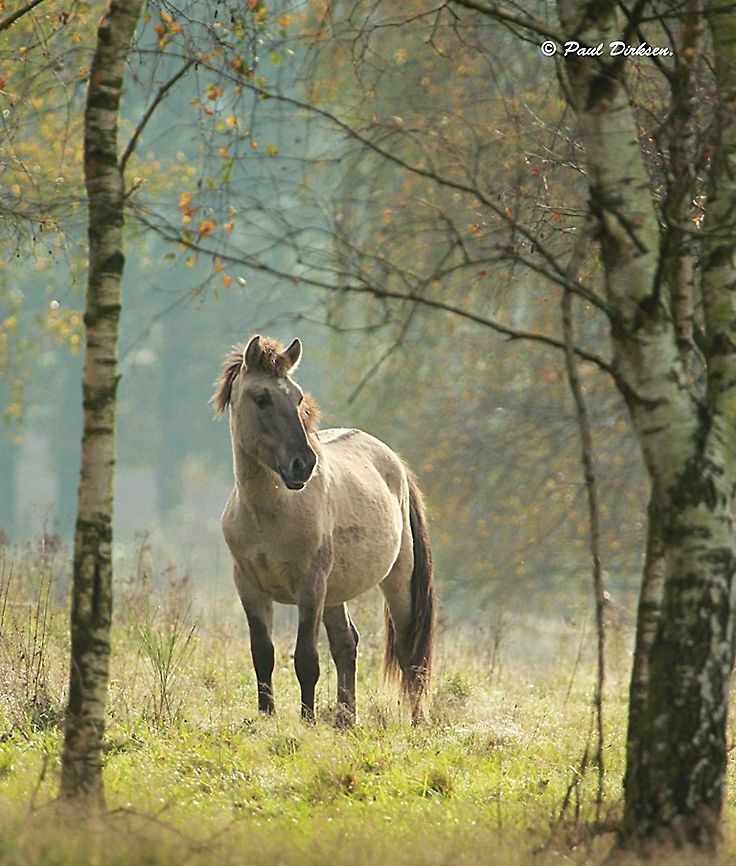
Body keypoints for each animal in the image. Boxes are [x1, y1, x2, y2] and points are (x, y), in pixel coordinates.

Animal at [212, 334, 435, 725]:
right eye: (262, 398)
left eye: (298, 398)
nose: (303, 464)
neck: (269, 515)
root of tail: (394, 461)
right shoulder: (250, 587)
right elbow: (263, 654)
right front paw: (267, 715)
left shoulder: (310, 585)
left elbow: (306, 659)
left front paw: (307, 720)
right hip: (336, 591)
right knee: (346, 644)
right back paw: (346, 718)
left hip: (397, 579)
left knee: (410, 651)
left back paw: (416, 722)